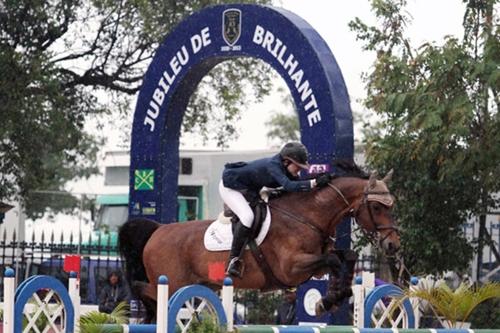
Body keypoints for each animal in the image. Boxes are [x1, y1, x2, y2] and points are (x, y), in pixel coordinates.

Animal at [117, 165, 398, 320]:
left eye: (392, 205)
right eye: (376, 206)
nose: (393, 245)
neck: (307, 215)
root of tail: (158, 231)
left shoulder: (314, 267)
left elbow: (346, 257)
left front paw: (335, 297)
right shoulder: (292, 268)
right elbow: (333, 259)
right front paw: (328, 301)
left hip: (199, 283)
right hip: (172, 282)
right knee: (146, 290)